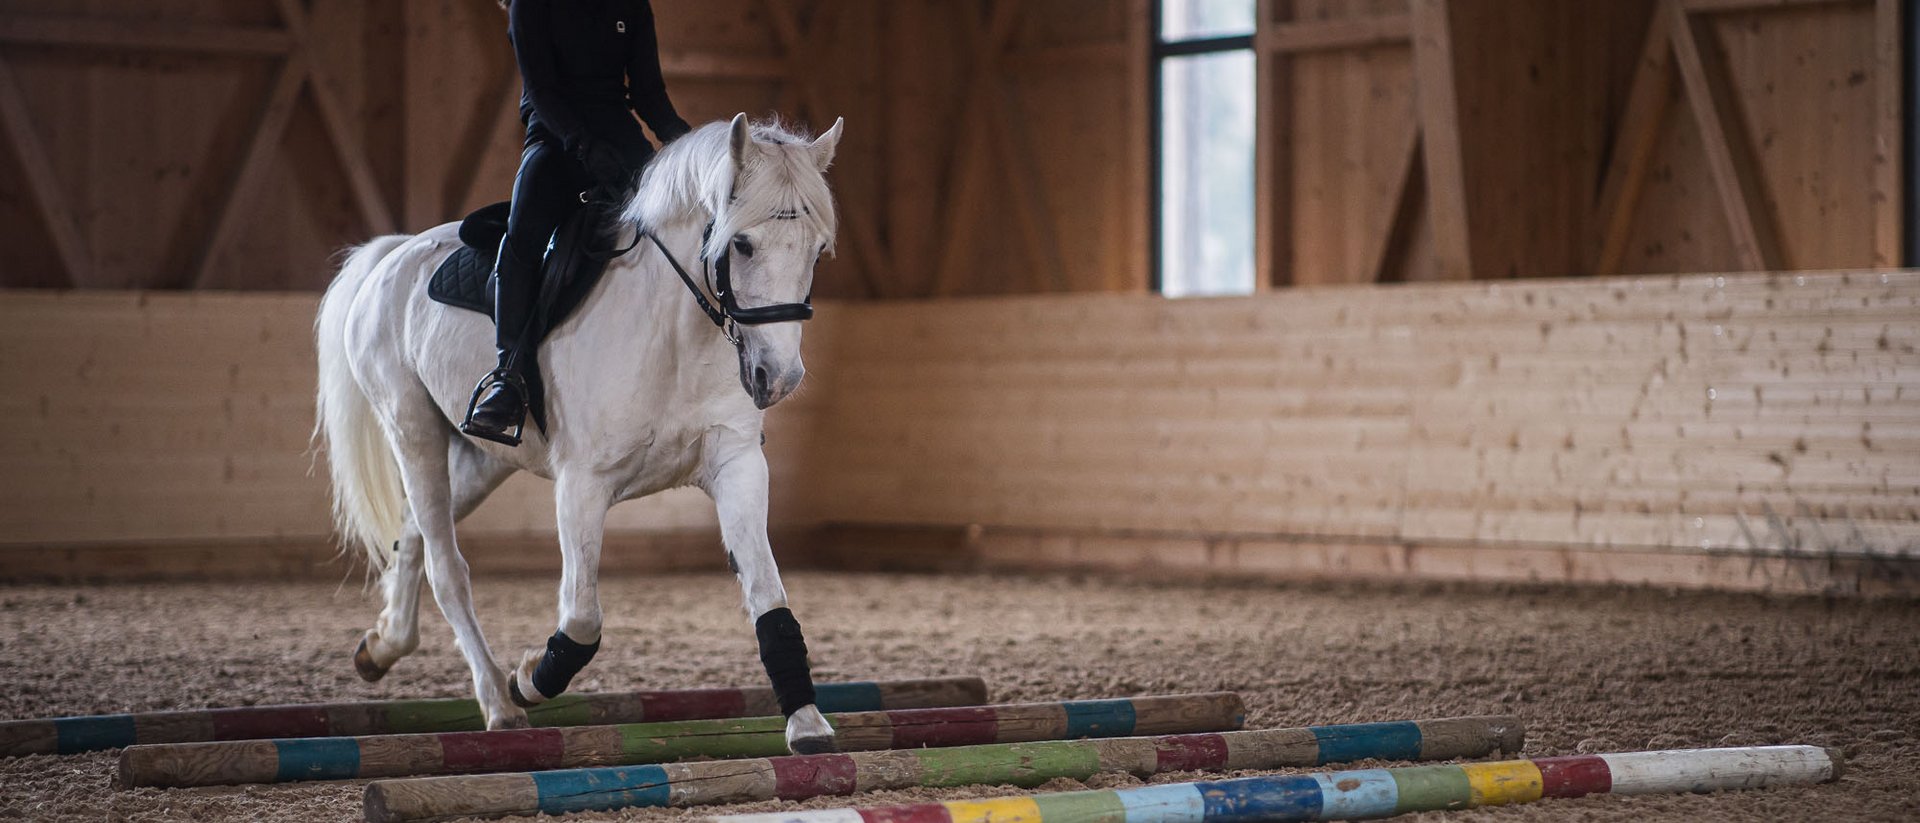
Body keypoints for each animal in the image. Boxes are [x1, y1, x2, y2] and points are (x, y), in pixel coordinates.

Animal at [312, 113, 844, 752]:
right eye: (741, 244)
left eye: (817, 251)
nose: (779, 377)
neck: (674, 333)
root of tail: (395, 255)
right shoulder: (583, 484)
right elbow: (583, 617)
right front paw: (527, 680)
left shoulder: (736, 464)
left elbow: (768, 592)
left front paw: (808, 723)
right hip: (412, 430)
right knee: (447, 566)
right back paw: (498, 701)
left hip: (485, 461)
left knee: (414, 530)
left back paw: (385, 645)